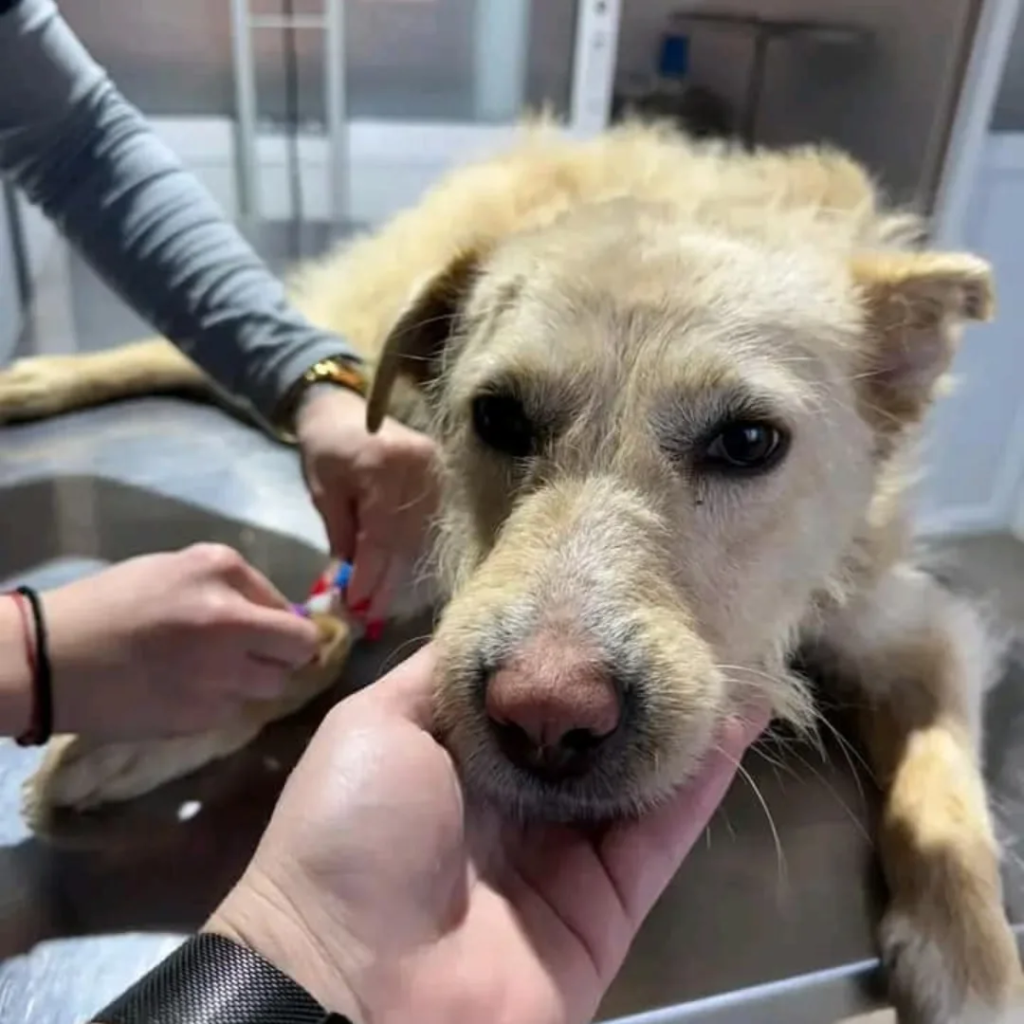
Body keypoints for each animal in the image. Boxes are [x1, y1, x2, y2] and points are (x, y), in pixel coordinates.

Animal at [2, 121, 1024, 1024]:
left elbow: (943, 792)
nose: (545, 716)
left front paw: (971, 962)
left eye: (747, 441)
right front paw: (166, 712)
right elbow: (322, 632)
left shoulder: (919, 626)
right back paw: (39, 379)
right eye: (497, 417)